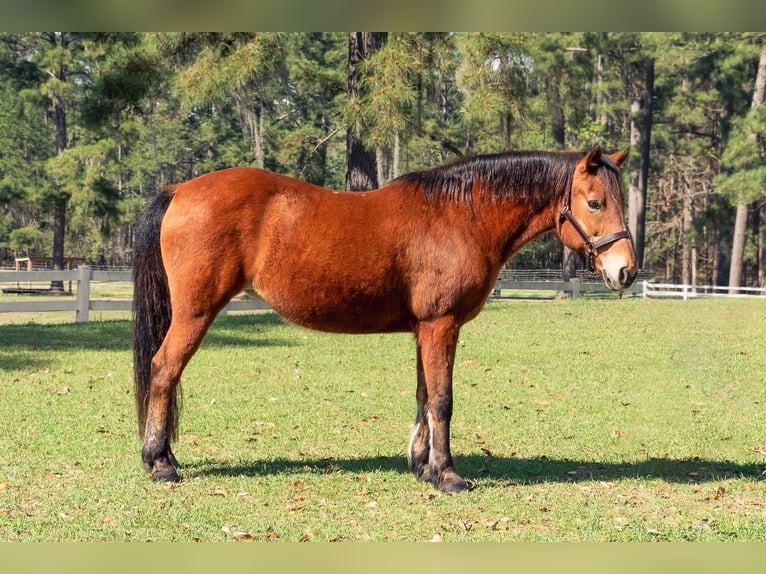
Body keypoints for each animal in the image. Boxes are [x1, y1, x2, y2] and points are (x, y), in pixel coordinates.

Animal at [132, 145, 638, 492]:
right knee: (163, 370)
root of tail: (179, 191)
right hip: (194, 314)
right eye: (595, 202)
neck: (461, 215)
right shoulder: (441, 324)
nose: (626, 271)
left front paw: (422, 466)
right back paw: (161, 463)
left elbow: (423, 396)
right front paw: (448, 475)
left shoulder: (425, 328)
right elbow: (442, 400)